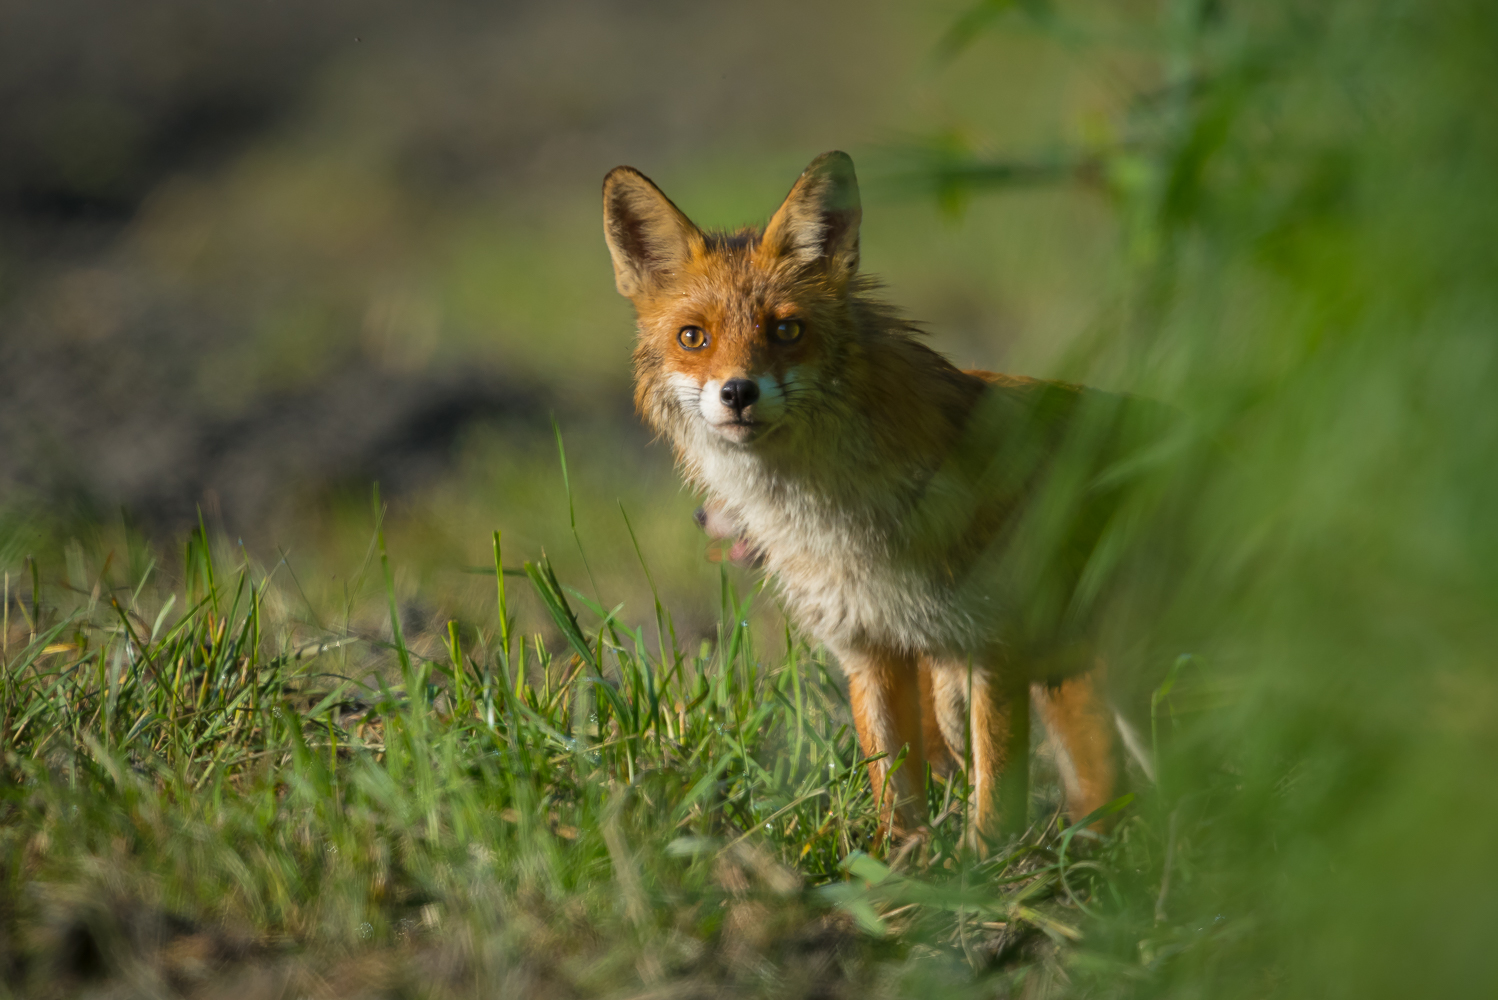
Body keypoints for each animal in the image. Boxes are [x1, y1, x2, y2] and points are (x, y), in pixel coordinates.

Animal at [602, 152, 1150, 850]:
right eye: (693, 337)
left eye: (787, 329)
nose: (738, 393)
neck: (838, 525)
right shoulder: (868, 643)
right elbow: (892, 781)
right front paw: (903, 864)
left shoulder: (992, 637)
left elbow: (996, 791)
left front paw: (986, 863)